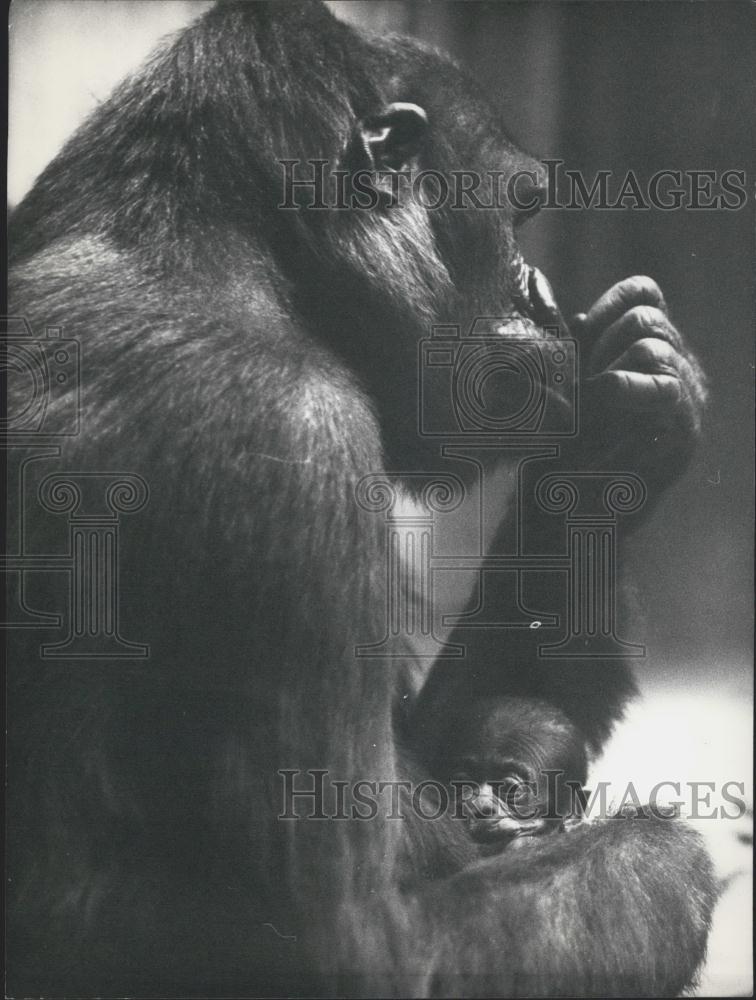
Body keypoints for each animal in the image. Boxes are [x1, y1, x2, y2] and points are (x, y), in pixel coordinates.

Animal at [6, 2, 715, 997]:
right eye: (519, 205)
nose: (541, 289)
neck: (254, 263)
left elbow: (451, 732)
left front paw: (620, 436)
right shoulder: (294, 445)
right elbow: (345, 950)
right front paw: (672, 859)